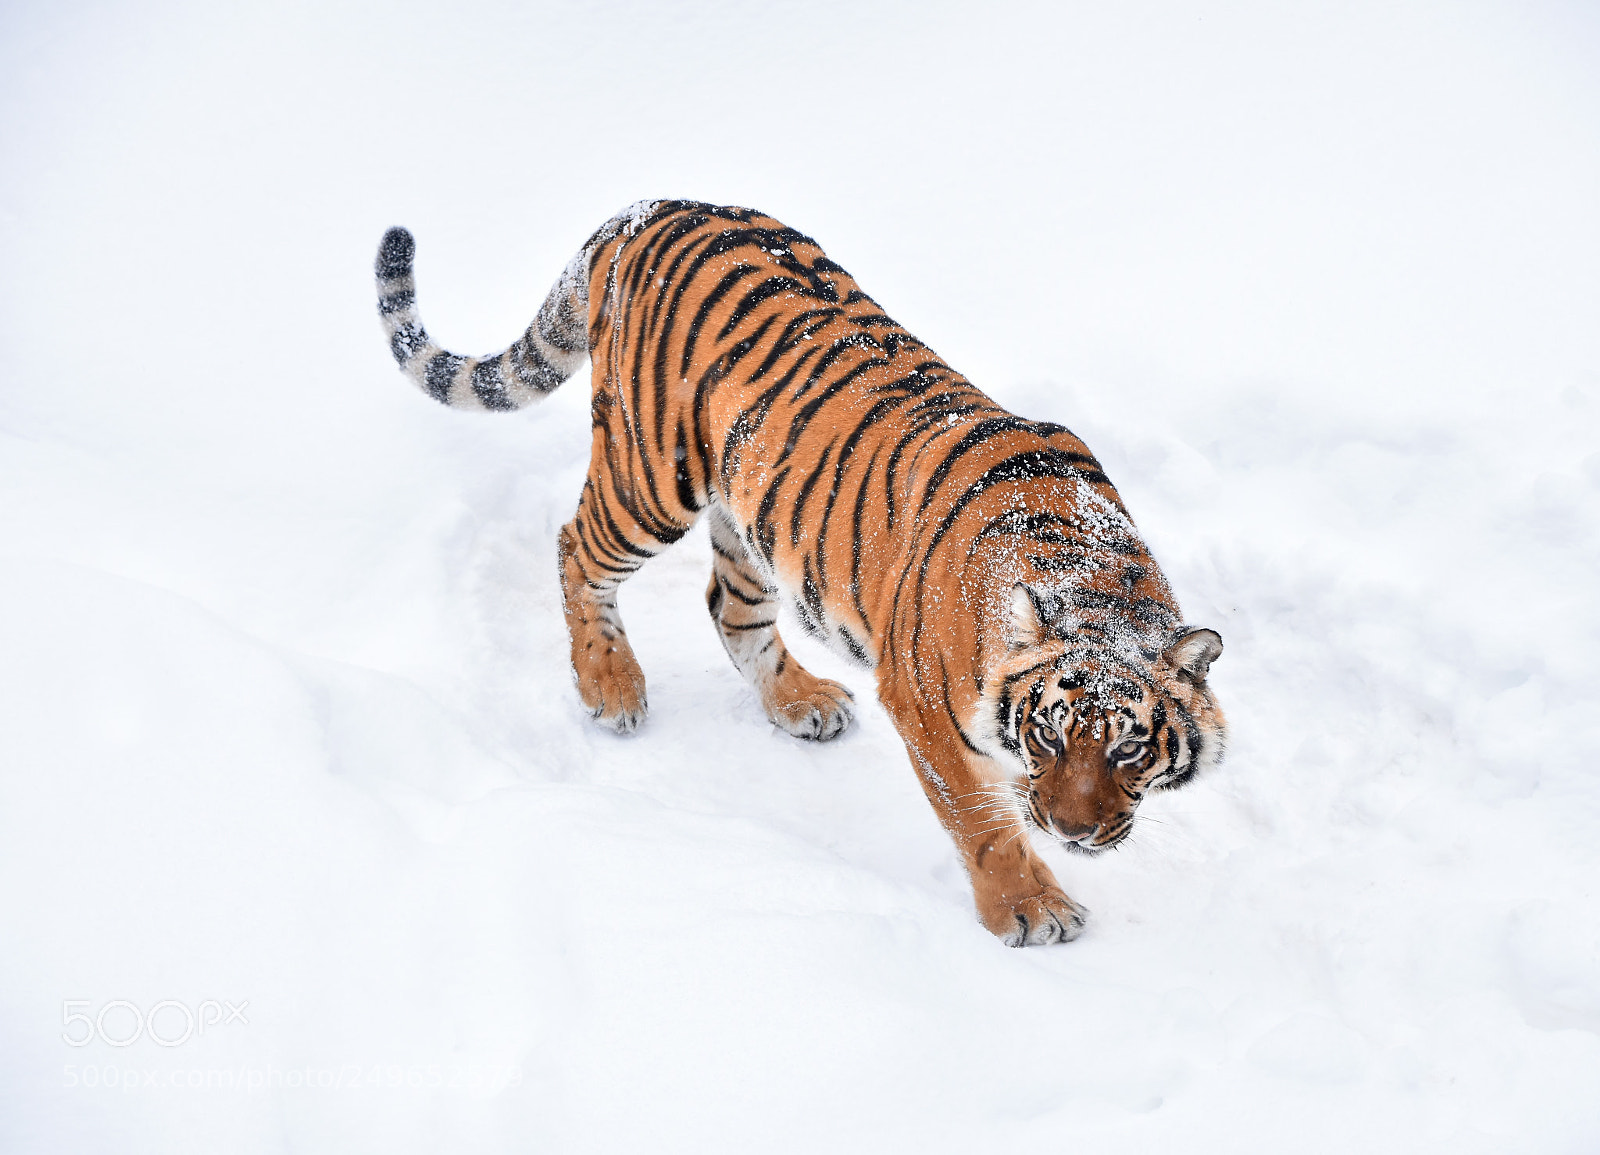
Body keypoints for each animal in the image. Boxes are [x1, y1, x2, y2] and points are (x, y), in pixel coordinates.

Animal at [374, 200, 1227, 946]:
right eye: (1048, 733)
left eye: (1128, 750)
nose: (1073, 830)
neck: (1098, 581)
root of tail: (650, 209)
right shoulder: (923, 706)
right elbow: (981, 823)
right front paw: (1030, 908)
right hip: (651, 475)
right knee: (573, 546)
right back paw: (610, 685)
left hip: (754, 514)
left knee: (729, 607)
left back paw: (800, 702)